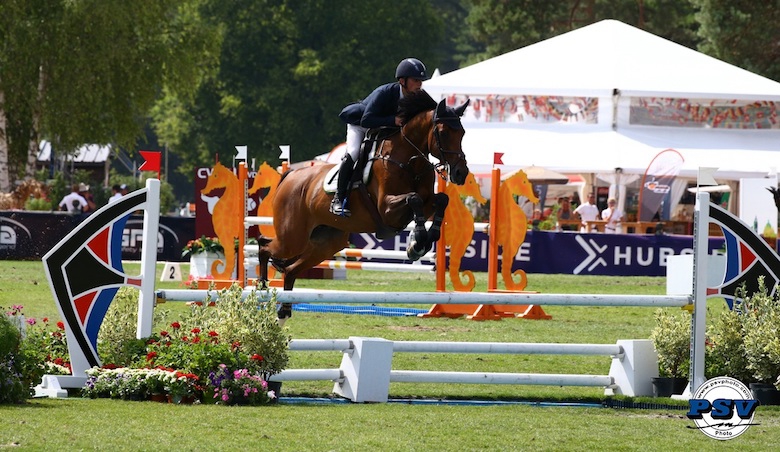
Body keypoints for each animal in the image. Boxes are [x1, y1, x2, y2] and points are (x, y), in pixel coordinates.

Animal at [258, 89, 470, 318]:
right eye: (444, 132)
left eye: (462, 133)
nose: (461, 173)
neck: (408, 160)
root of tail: (290, 175)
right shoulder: (387, 210)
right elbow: (413, 198)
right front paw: (417, 242)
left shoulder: (427, 201)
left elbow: (441, 200)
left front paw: (425, 239)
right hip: (293, 238)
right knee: (264, 246)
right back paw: (261, 290)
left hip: (325, 243)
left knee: (289, 269)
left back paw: (283, 311)